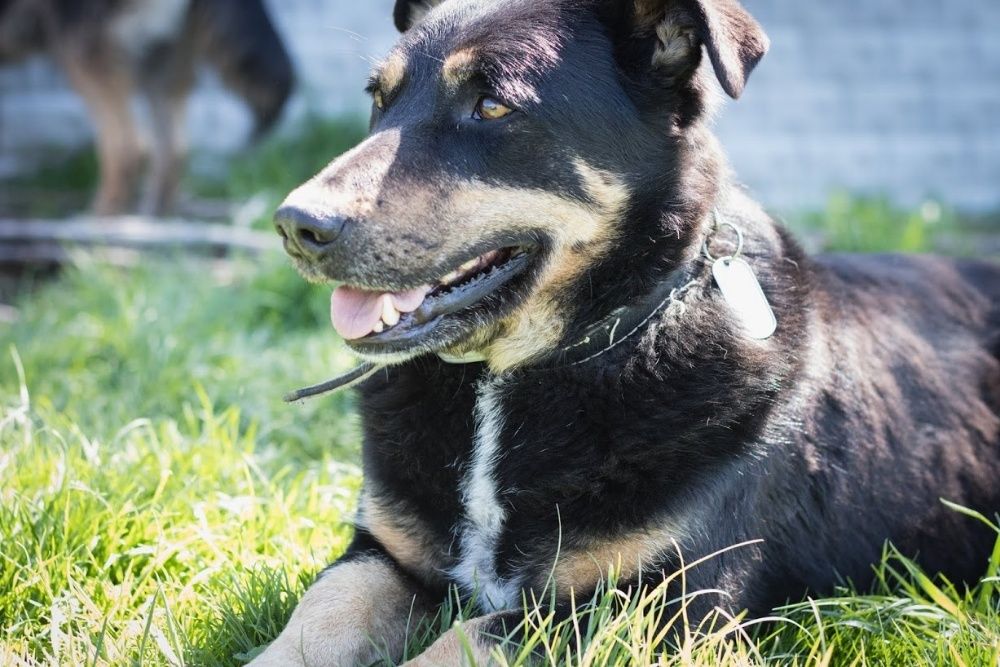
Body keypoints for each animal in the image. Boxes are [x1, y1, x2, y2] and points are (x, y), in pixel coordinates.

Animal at [0, 0, 292, 214]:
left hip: (82, 45)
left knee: (127, 147)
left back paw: (102, 219)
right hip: (163, 57)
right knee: (173, 148)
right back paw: (152, 216)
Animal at [256, 0, 992, 664]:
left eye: (491, 106)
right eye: (380, 101)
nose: (296, 224)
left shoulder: (656, 607)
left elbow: (469, 637)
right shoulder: (379, 552)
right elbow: (319, 612)